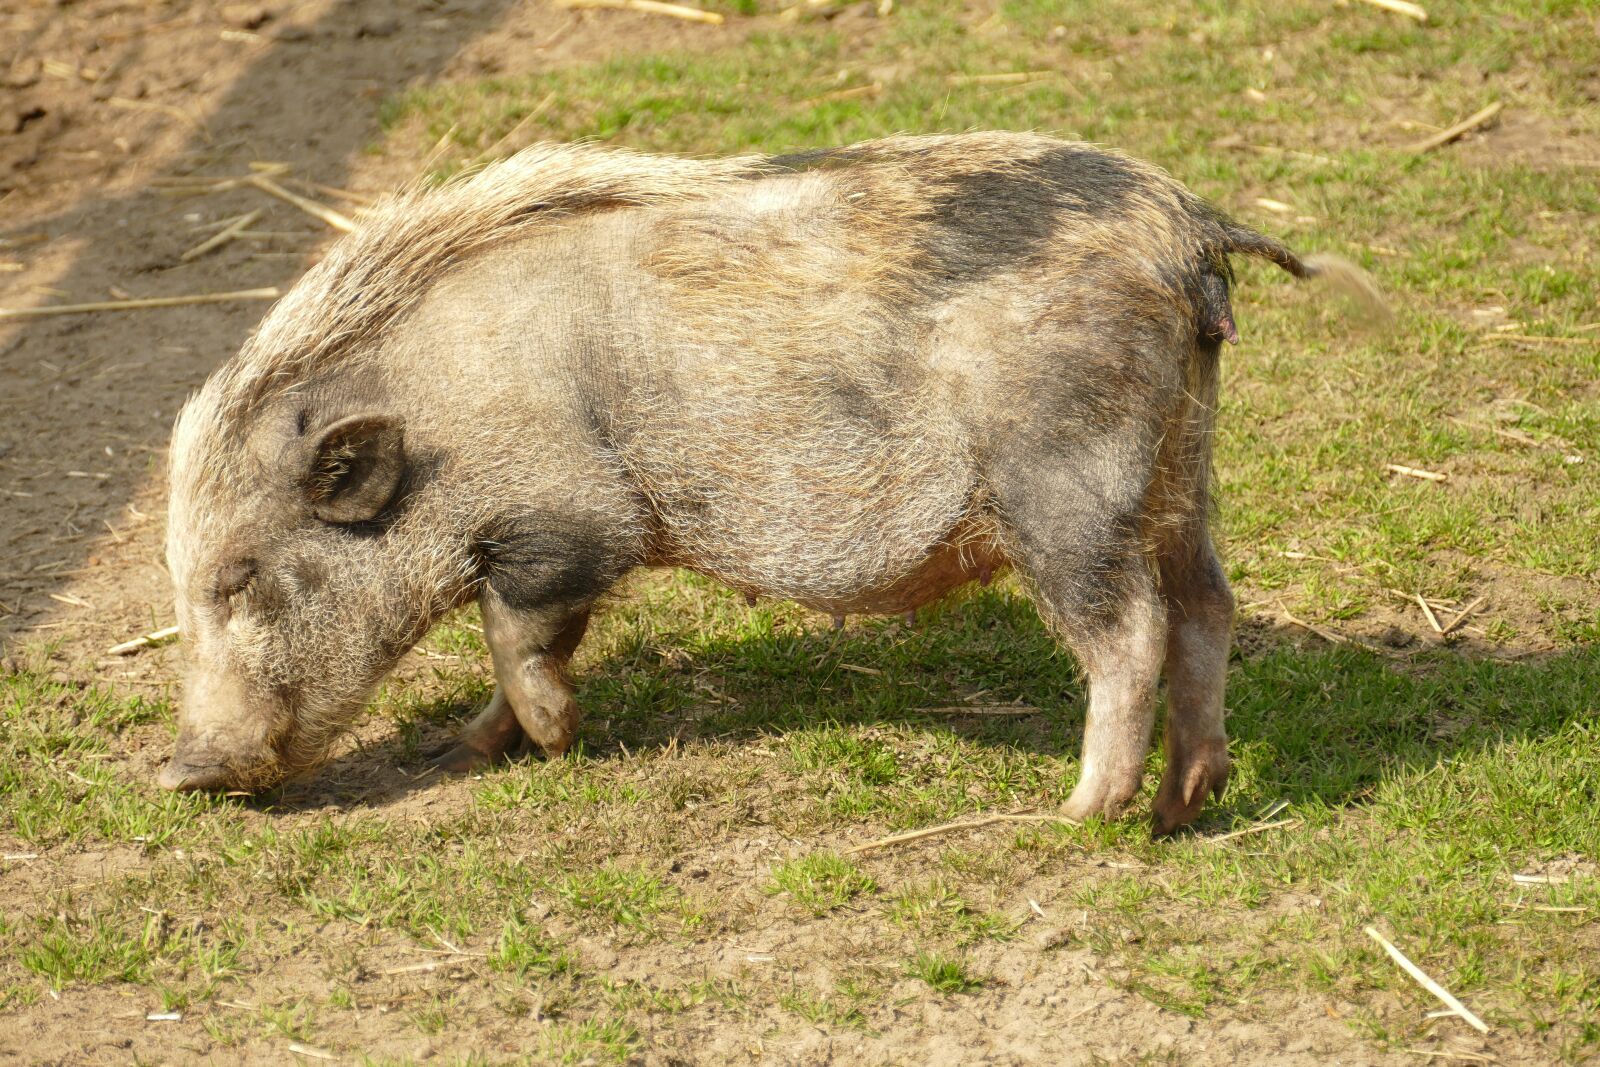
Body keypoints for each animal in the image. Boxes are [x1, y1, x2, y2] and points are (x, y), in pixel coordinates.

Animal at [160, 132, 1380, 833]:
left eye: (239, 577)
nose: (178, 771)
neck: (439, 417)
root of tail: (1183, 224)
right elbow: (525, 654)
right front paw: (458, 749)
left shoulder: (570, 521)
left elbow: (522, 638)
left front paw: (556, 741)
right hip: (1182, 467)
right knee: (1209, 605)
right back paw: (1183, 806)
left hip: (1068, 489)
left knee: (1128, 632)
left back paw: (1072, 818)